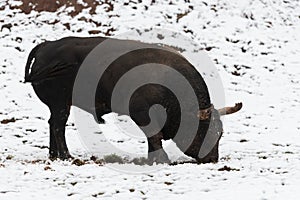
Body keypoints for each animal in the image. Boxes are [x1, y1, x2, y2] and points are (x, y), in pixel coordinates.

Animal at [24, 36, 243, 164]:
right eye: (203, 129)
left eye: (220, 132)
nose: (212, 158)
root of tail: (47, 46)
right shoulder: (142, 114)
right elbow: (153, 135)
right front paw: (161, 159)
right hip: (61, 104)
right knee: (58, 126)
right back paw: (65, 155)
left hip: (59, 106)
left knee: (53, 124)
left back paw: (54, 155)